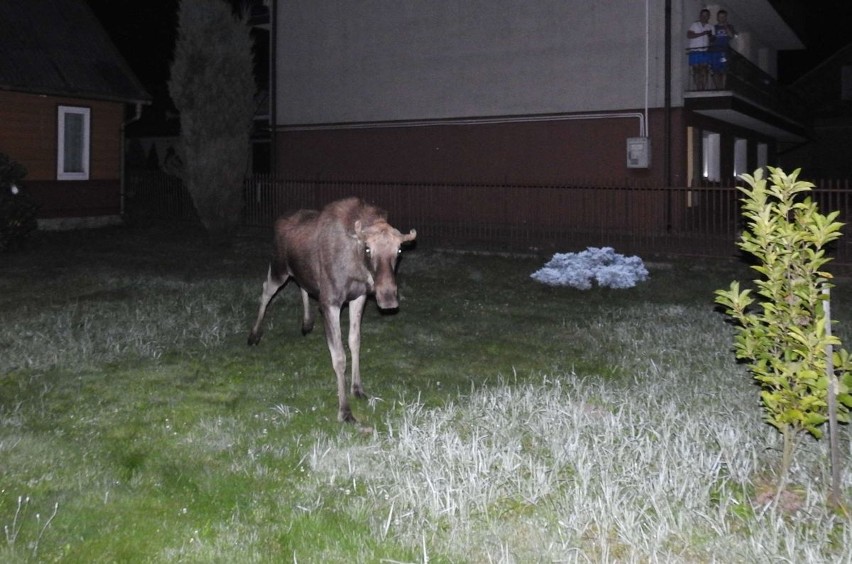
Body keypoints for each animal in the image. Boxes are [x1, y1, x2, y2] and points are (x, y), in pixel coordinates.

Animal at [246, 198, 416, 424]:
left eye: (399, 251)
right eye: (368, 249)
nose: (387, 298)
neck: (357, 267)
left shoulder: (359, 297)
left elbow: (355, 342)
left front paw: (358, 389)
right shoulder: (330, 303)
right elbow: (339, 357)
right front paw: (345, 411)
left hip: (300, 272)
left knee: (302, 285)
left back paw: (306, 323)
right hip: (279, 268)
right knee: (266, 291)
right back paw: (254, 334)